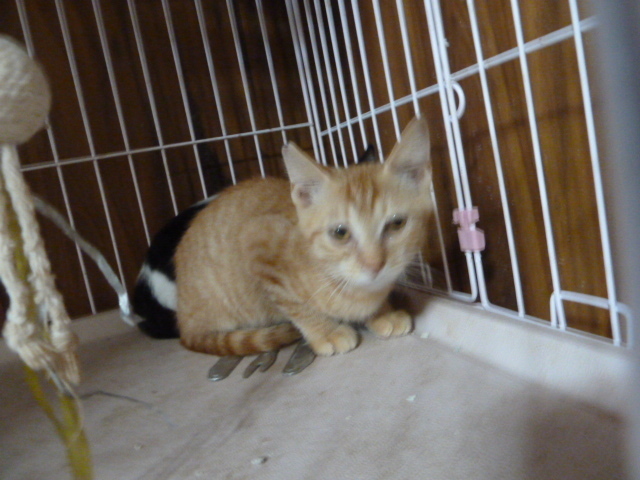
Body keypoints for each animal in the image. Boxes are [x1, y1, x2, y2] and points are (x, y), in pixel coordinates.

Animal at [172, 117, 433, 357]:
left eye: (397, 224)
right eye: (340, 233)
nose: (374, 264)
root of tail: (184, 326)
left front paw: (383, 313)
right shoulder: (256, 242)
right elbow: (295, 305)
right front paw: (326, 331)